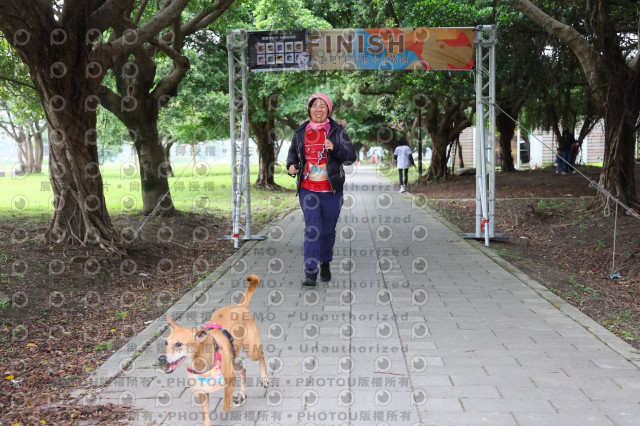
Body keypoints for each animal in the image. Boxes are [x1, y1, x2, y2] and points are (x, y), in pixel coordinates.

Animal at [157, 274, 269, 424]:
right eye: (166, 342)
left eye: (179, 344)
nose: (161, 358)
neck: (200, 362)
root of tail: (240, 306)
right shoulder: (202, 391)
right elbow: (206, 414)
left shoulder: (230, 380)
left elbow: (226, 405)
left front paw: (235, 404)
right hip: (233, 359)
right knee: (243, 370)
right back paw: (242, 394)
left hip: (252, 350)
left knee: (261, 356)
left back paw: (264, 378)